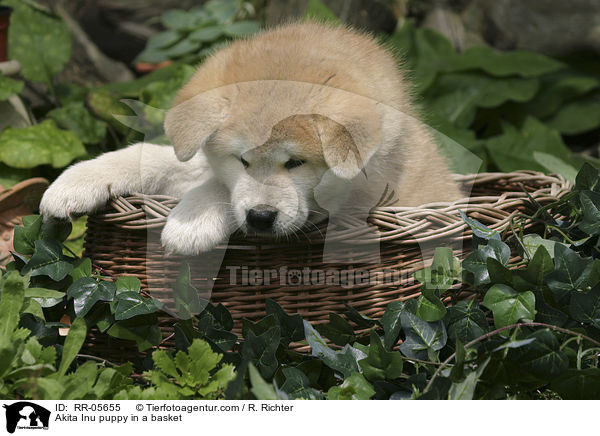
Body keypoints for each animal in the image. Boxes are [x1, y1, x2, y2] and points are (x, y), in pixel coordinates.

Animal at [39, 22, 462, 255]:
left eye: (296, 163)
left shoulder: (352, 205)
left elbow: (216, 188)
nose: (260, 218)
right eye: (241, 160)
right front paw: (76, 182)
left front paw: (192, 220)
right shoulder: (201, 164)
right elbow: (153, 156)